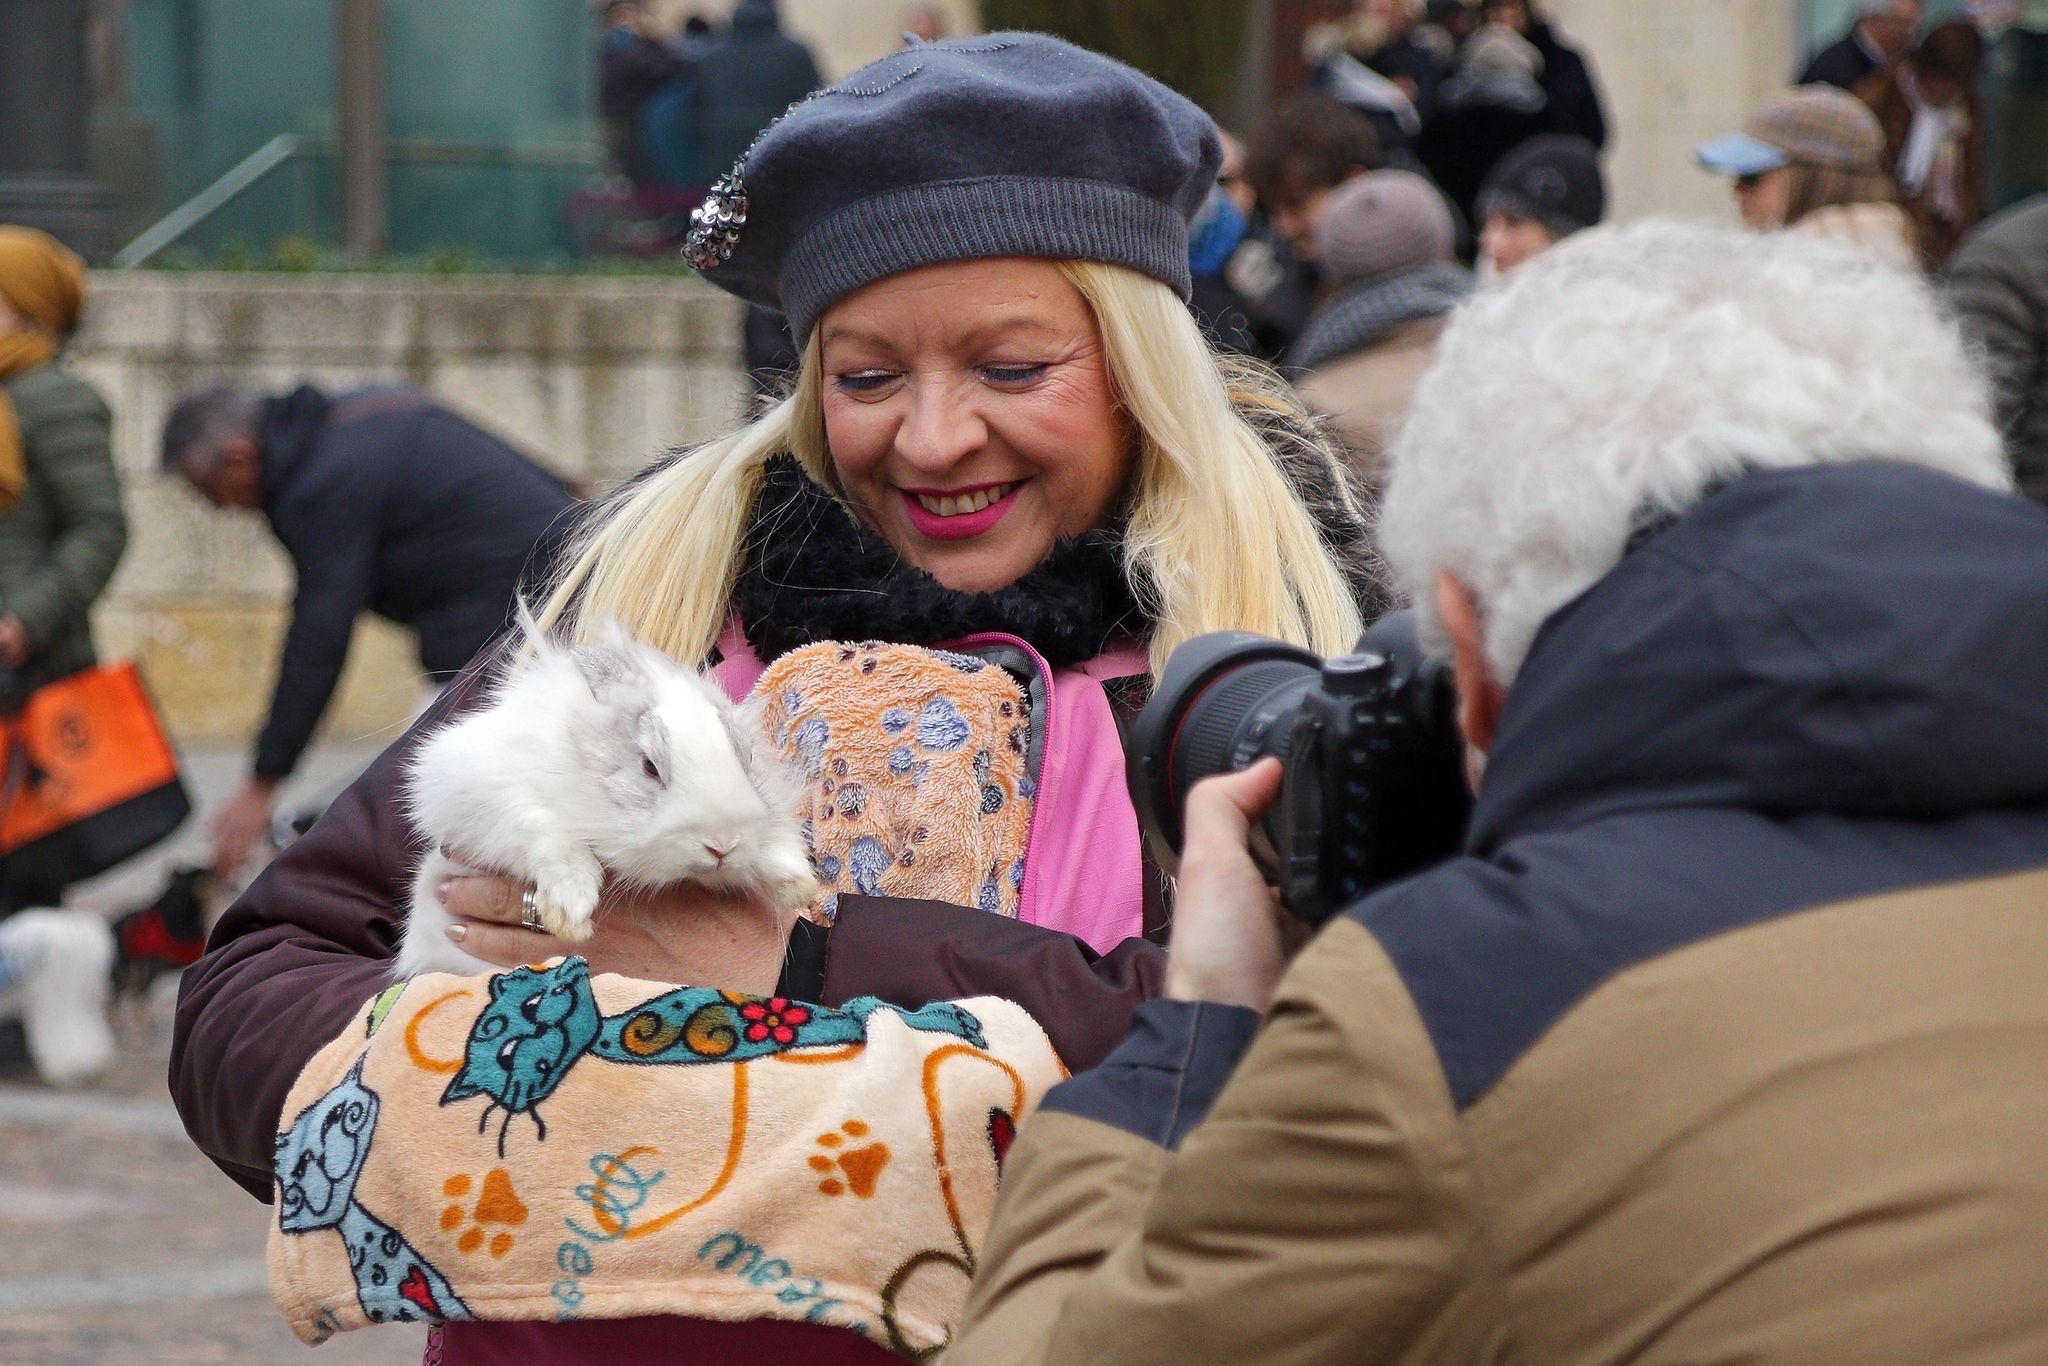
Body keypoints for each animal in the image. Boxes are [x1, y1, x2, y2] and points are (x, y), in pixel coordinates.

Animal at [391, 610, 815, 983]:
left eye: (747, 757)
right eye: (649, 766)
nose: (722, 844)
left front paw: (796, 881)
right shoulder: (479, 791)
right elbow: (545, 832)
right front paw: (571, 908)